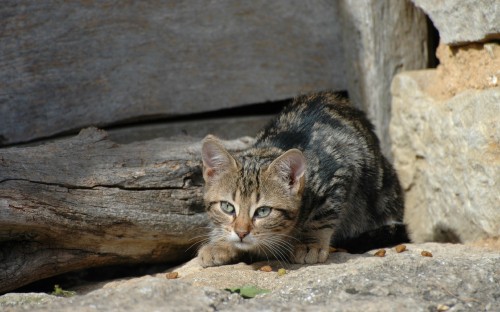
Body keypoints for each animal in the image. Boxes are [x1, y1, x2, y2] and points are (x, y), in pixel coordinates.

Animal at [197, 91, 404, 266]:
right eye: (227, 207)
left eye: (263, 211)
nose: (241, 233)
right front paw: (220, 244)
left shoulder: (340, 171)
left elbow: (322, 214)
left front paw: (309, 243)